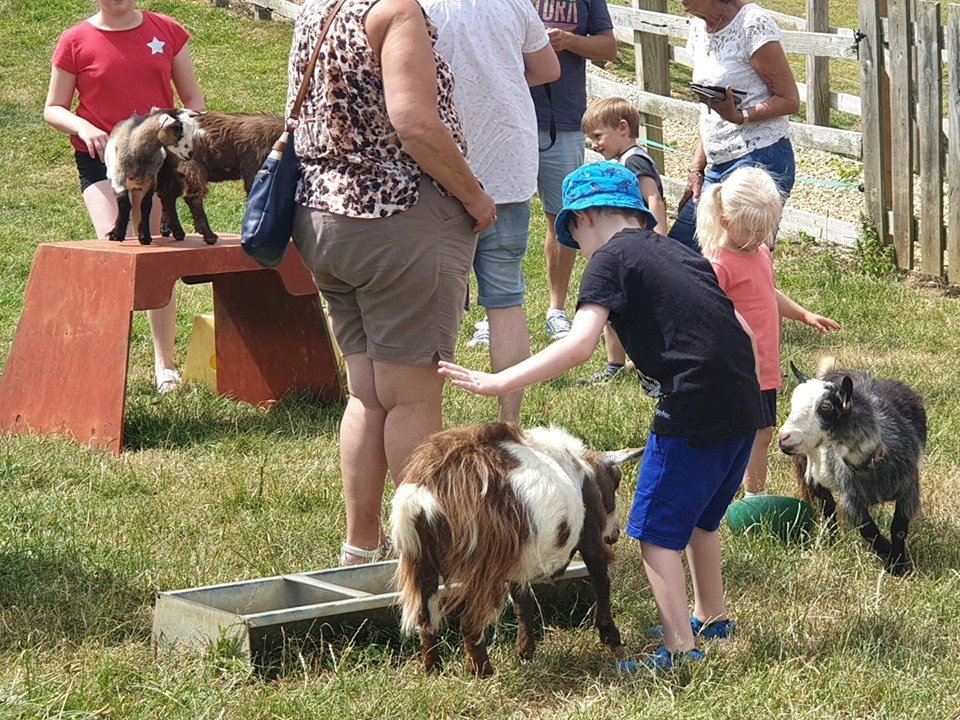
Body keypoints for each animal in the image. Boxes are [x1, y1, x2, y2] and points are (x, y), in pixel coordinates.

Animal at [390, 422, 644, 676]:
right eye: (616, 480)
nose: (614, 534)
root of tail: (424, 494)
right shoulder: (588, 530)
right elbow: (601, 576)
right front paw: (611, 636)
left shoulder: (519, 557)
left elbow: (523, 602)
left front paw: (525, 653)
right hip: (483, 561)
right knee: (470, 621)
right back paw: (483, 671)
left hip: (421, 558)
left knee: (425, 616)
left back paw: (432, 667)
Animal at [776, 360, 928, 572]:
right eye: (793, 403)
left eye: (826, 407)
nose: (784, 438)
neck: (872, 462)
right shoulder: (851, 499)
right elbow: (868, 530)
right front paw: (890, 558)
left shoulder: (908, 489)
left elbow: (898, 528)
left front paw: (898, 563)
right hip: (811, 471)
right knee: (828, 507)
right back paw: (832, 539)